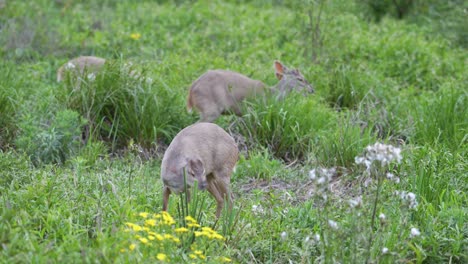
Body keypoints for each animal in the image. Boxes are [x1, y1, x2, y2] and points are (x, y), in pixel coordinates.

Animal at [186, 60, 314, 122]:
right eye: (300, 79)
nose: (312, 90)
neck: (272, 95)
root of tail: (191, 91)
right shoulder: (253, 109)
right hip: (210, 108)